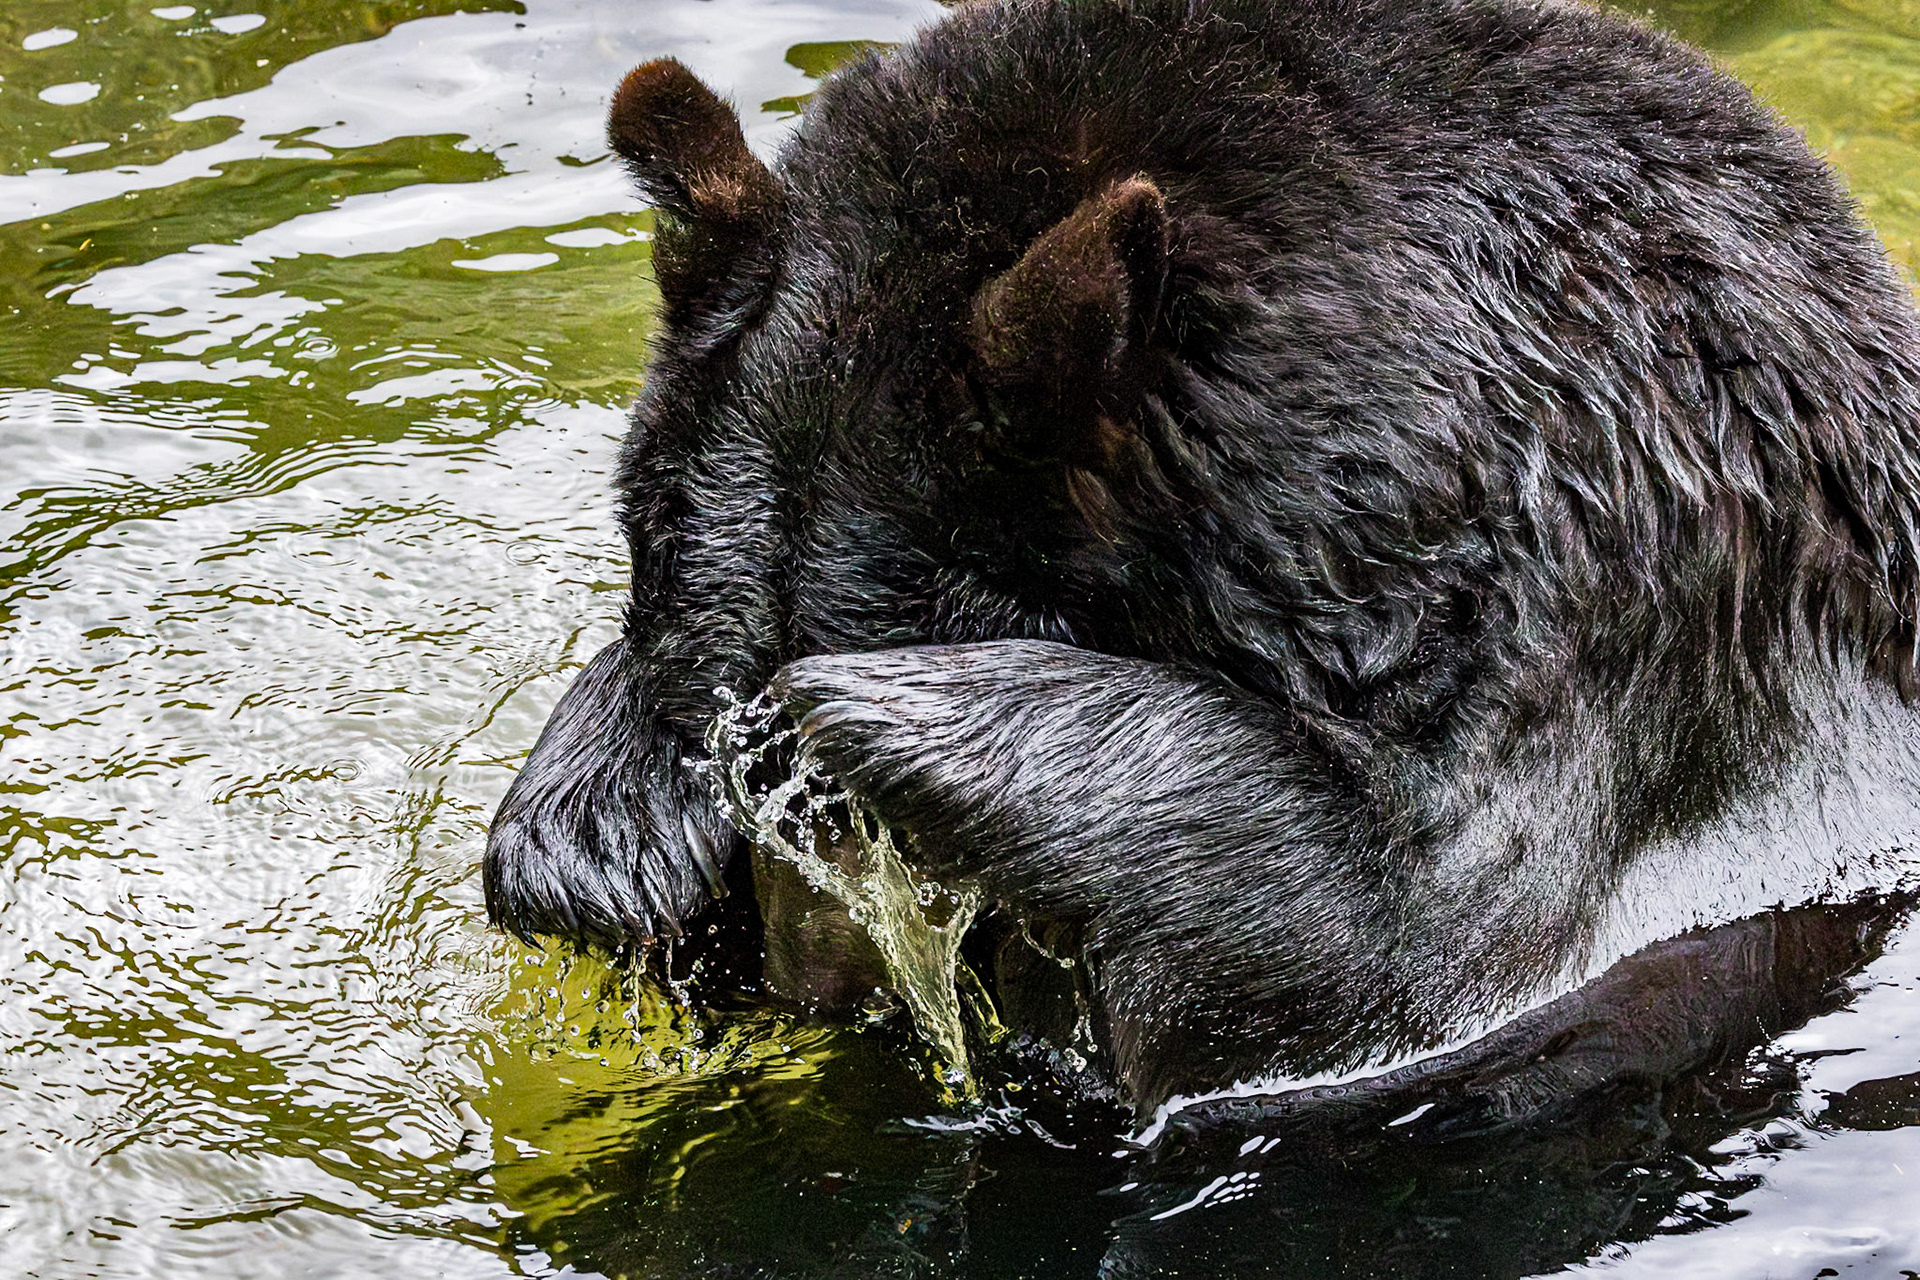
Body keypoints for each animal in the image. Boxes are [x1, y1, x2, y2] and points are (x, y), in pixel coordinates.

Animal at [484, 0, 1920, 1112]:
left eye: (850, 824)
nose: (814, 974)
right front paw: (604, 821)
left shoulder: (1622, 641)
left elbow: (1404, 939)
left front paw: (899, 711)